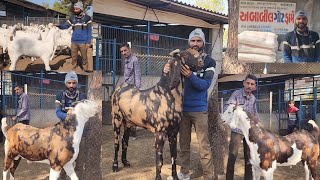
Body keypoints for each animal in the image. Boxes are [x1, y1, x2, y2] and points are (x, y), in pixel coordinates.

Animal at [111, 48, 204, 180]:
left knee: (125, 141)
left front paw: (175, 177)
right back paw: (115, 166)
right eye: (186, 54)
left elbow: (174, 157)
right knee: (116, 143)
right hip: (116, 120)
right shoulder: (159, 134)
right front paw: (158, 177)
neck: (167, 95)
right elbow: (159, 161)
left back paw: (125, 162)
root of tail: (119, 88)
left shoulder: (173, 133)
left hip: (129, 122)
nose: (201, 60)